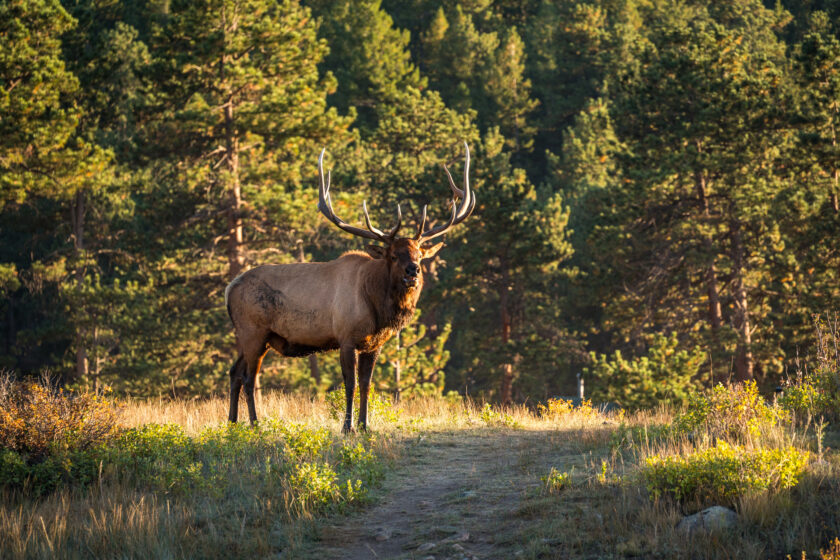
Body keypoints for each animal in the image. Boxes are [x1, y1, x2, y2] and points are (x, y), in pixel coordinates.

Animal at [223, 142, 472, 430]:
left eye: (419, 254)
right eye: (394, 255)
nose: (414, 271)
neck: (378, 307)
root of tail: (229, 289)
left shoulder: (374, 344)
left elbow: (366, 385)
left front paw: (365, 425)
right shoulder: (346, 337)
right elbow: (350, 385)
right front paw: (347, 427)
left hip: (252, 337)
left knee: (234, 372)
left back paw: (231, 423)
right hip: (253, 331)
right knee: (248, 378)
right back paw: (255, 424)